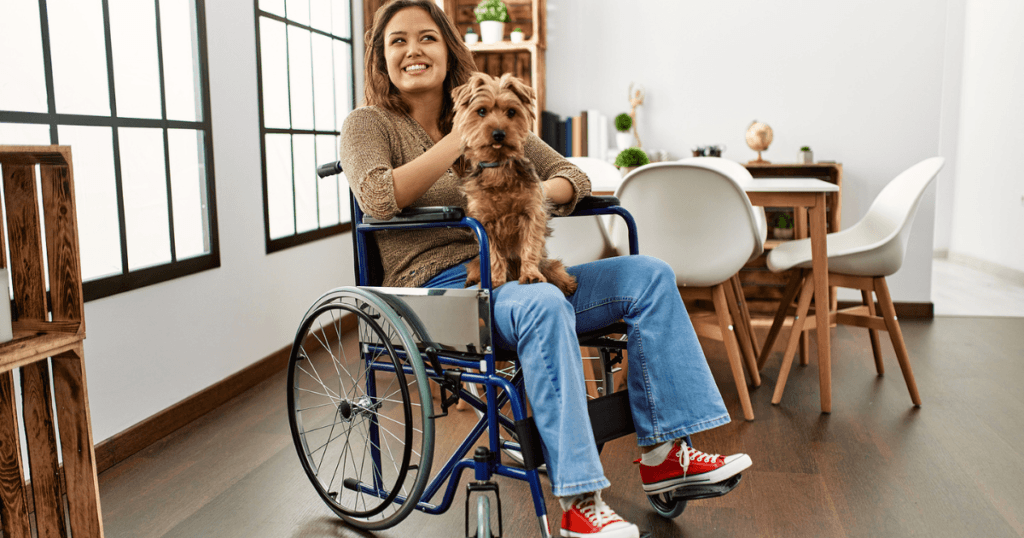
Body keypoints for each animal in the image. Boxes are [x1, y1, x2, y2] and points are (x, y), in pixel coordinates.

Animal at [454, 71, 577, 295]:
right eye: (481, 111)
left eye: (511, 112)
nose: (498, 133)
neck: (498, 168)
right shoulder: (484, 222)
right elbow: (493, 255)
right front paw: (494, 280)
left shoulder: (531, 214)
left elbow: (529, 246)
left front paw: (530, 274)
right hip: (475, 263)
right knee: (475, 266)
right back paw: (473, 279)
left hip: (548, 264)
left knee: (554, 267)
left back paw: (566, 284)